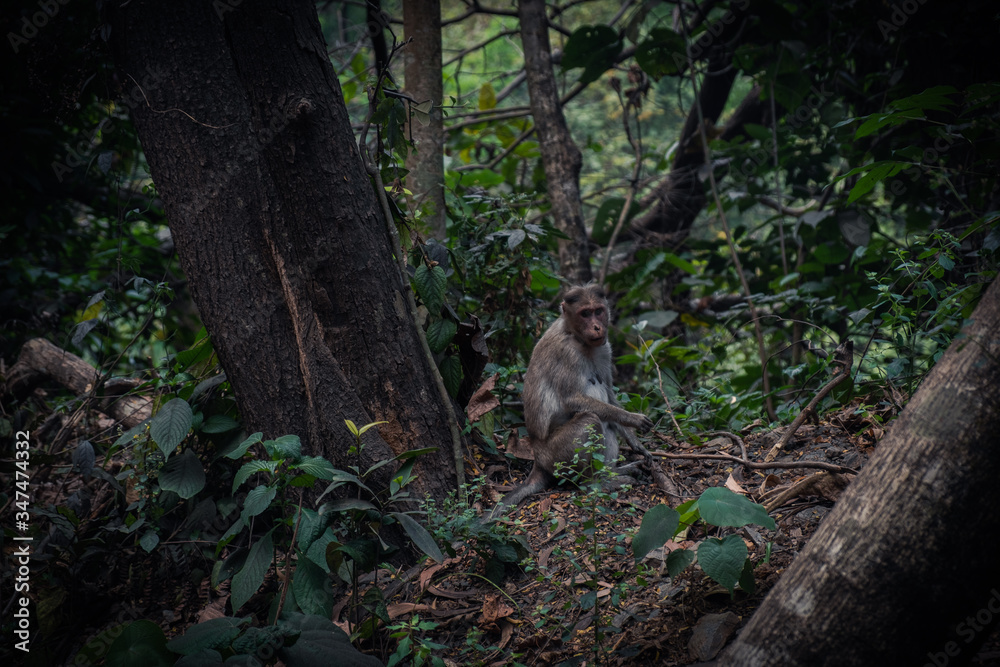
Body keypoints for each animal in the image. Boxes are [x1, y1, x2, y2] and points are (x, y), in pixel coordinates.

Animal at [489, 284, 653, 519]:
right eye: (585, 313)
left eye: (598, 311)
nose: (597, 327)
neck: (574, 334)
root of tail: (538, 460)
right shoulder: (567, 352)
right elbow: (573, 400)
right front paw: (633, 419)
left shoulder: (605, 349)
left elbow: (609, 395)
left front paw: (636, 443)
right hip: (556, 456)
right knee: (591, 419)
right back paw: (595, 482)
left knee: (605, 420)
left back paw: (612, 472)